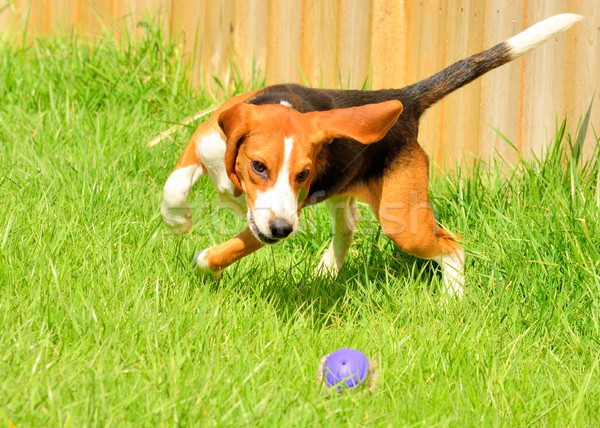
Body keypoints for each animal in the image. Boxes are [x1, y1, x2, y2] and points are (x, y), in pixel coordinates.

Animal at [161, 13, 580, 298]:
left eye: (302, 174)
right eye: (259, 166)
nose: (282, 231)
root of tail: (404, 97)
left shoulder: (275, 218)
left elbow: (235, 244)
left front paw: (206, 261)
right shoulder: (205, 140)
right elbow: (175, 184)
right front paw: (178, 221)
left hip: (404, 224)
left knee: (452, 245)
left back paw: (452, 298)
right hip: (346, 193)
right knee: (349, 224)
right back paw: (326, 271)